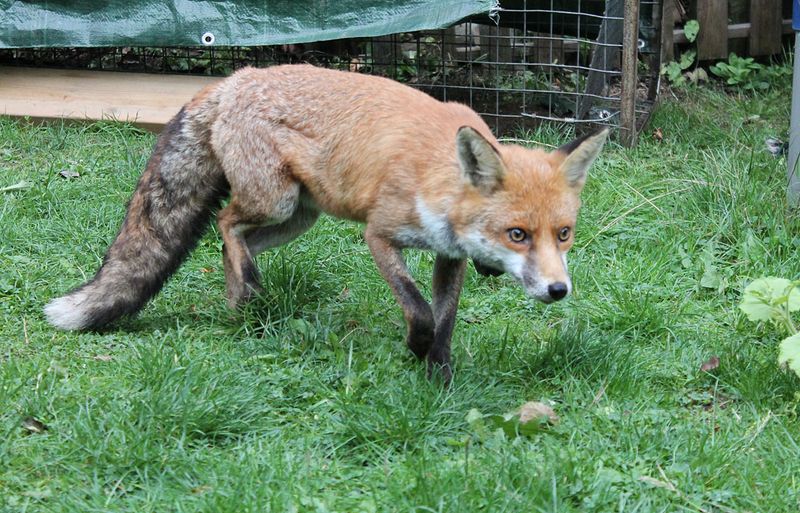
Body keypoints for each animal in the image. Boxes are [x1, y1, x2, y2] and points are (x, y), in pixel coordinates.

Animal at [44, 64, 608, 382]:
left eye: (563, 234)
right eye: (517, 235)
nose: (559, 290)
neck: (439, 177)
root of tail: (231, 79)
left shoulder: (450, 256)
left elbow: (445, 320)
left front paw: (440, 377)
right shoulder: (379, 235)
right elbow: (419, 310)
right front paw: (416, 348)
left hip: (299, 217)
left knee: (234, 238)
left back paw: (239, 300)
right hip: (276, 200)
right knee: (225, 222)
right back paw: (247, 290)